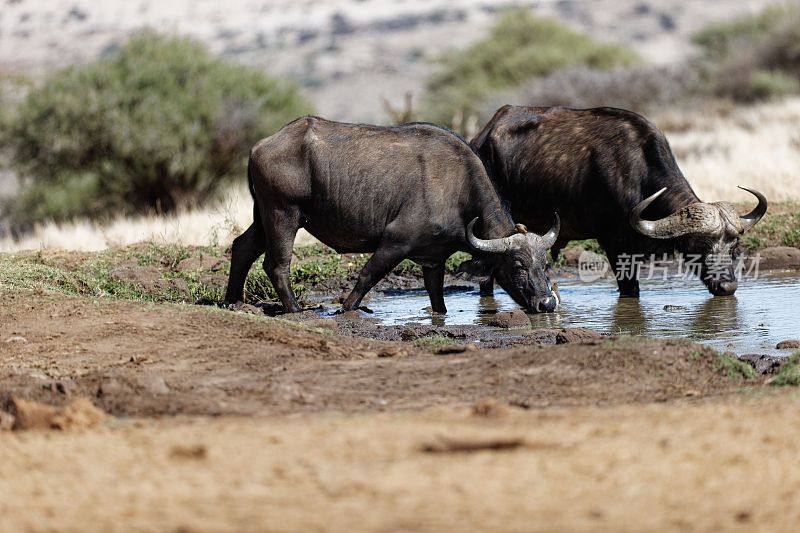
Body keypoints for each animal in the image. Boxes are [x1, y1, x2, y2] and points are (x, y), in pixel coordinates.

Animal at [223, 116, 564, 312]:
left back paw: (232, 301)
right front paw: (346, 309)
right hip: (284, 215)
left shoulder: (433, 260)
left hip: (263, 217)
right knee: (276, 265)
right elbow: (366, 276)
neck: (458, 187)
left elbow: (437, 299)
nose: (547, 303)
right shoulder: (394, 242)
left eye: (544, 264)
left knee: (241, 248)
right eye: (517, 265)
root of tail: (261, 145)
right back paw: (295, 309)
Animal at [472, 104, 764, 296]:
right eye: (699, 247)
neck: (637, 171)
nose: (727, 286)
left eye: (734, 248)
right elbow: (629, 289)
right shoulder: (613, 243)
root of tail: (481, 137)